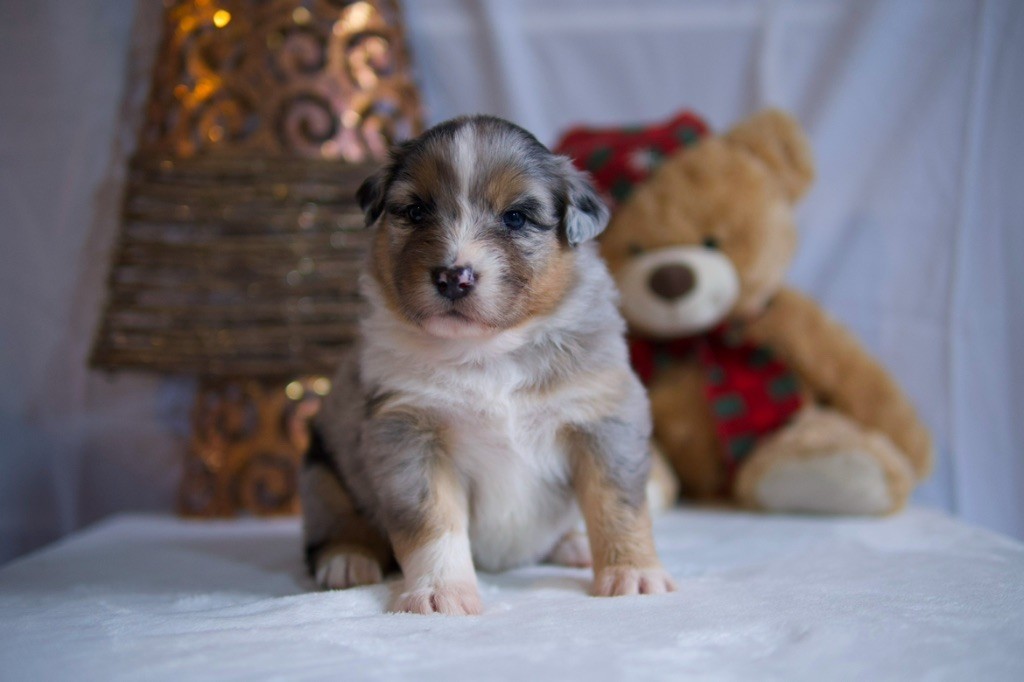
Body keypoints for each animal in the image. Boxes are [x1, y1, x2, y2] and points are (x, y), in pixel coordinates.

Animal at [299, 114, 675, 614]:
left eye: (515, 217)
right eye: (415, 211)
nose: (453, 277)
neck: (488, 352)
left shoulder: (604, 416)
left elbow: (617, 504)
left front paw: (634, 573)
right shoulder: (407, 429)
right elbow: (433, 520)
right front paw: (439, 592)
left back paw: (573, 543)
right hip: (320, 472)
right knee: (334, 522)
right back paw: (347, 559)